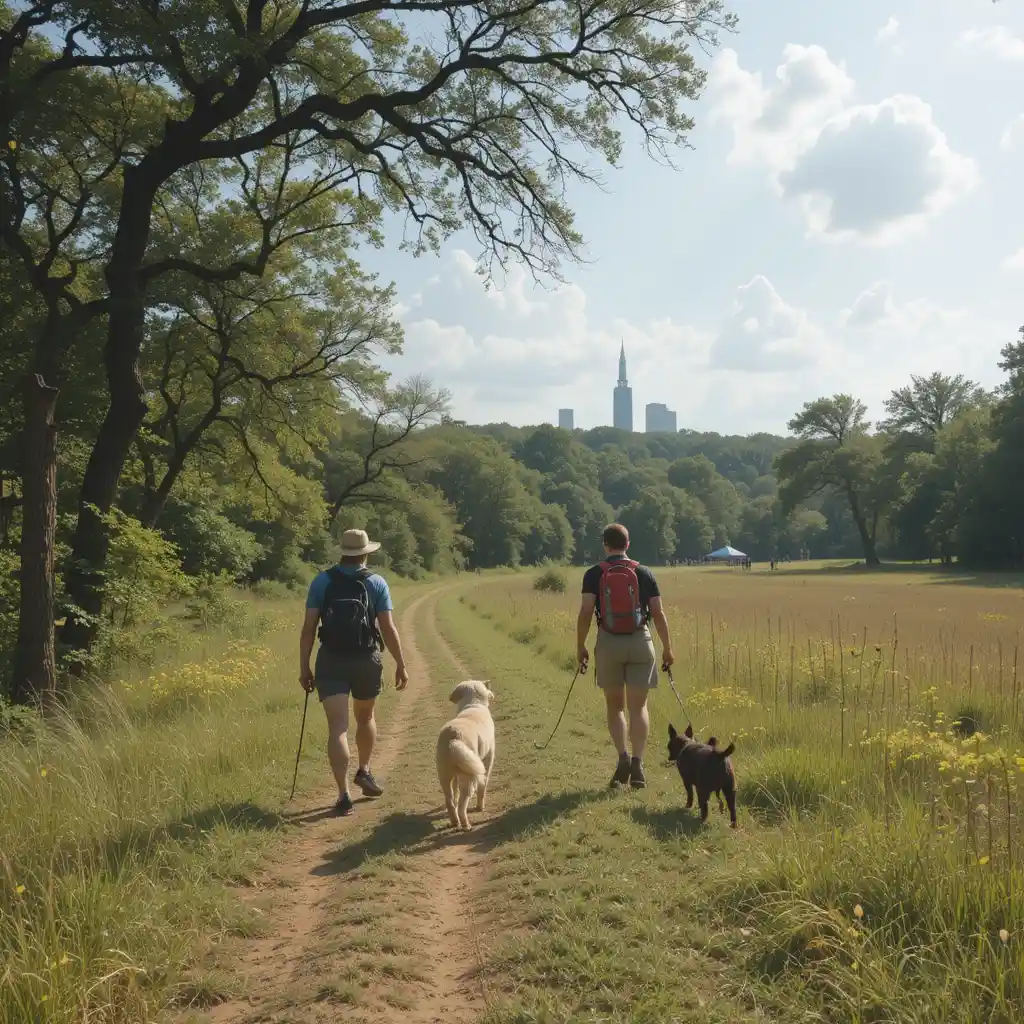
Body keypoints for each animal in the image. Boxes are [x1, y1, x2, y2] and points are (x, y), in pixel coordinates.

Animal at [434, 679, 493, 831]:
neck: (473, 704)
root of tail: (454, 738)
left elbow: (455, 793)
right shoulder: (488, 759)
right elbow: (483, 786)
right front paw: (480, 807)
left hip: (445, 775)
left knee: (450, 801)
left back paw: (455, 821)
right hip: (469, 777)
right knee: (461, 806)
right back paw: (466, 825)